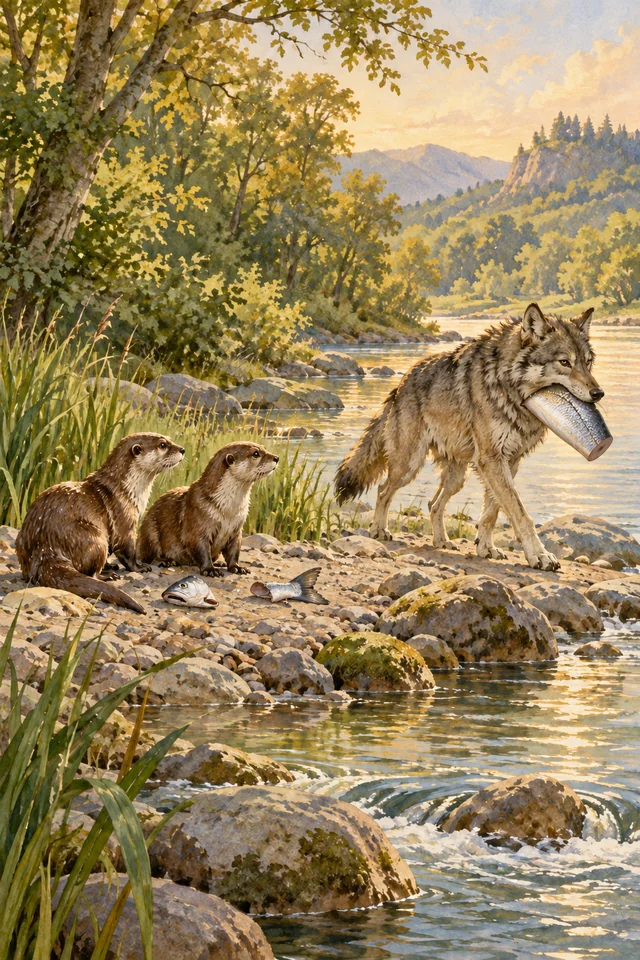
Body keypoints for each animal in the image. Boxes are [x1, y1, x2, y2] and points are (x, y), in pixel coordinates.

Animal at [334, 303, 604, 571]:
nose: (598, 393)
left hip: (456, 478)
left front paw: (486, 547)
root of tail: (400, 385)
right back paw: (379, 531)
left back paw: (441, 541)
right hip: (408, 466)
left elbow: (492, 512)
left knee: (433, 504)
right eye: (565, 362)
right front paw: (540, 555)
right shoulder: (491, 459)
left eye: (588, 362)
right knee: (383, 490)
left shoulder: (509, 460)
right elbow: (520, 513)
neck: (509, 386)